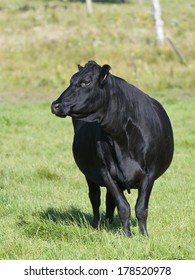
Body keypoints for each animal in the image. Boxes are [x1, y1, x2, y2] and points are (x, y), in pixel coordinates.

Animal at [51, 61, 174, 236]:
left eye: (86, 82)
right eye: (71, 80)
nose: (55, 105)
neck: (122, 138)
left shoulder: (150, 173)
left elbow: (141, 209)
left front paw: (144, 235)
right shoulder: (106, 173)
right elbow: (123, 207)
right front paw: (127, 235)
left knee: (109, 202)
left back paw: (108, 223)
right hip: (90, 174)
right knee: (95, 198)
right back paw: (97, 224)